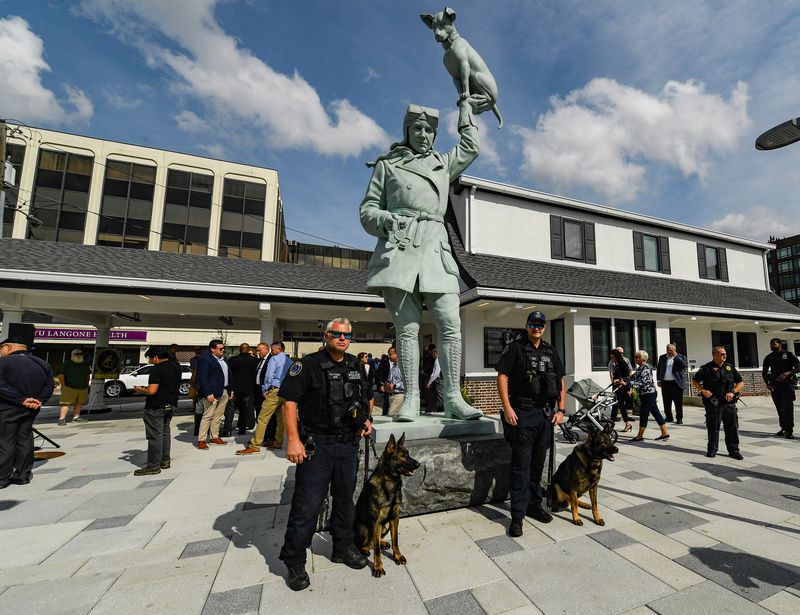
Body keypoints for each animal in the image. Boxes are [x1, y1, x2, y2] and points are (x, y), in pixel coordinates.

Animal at [354, 434, 422, 576]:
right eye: (402, 456)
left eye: (408, 453)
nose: (418, 464)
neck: (390, 481)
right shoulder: (375, 521)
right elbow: (377, 551)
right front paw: (378, 567)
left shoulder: (394, 518)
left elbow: (395, 540)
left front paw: (397, 556)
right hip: (364, 529)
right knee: (362, 544)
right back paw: (364, 550)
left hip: (385, 527)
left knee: (376, 541)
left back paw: (382, 542)